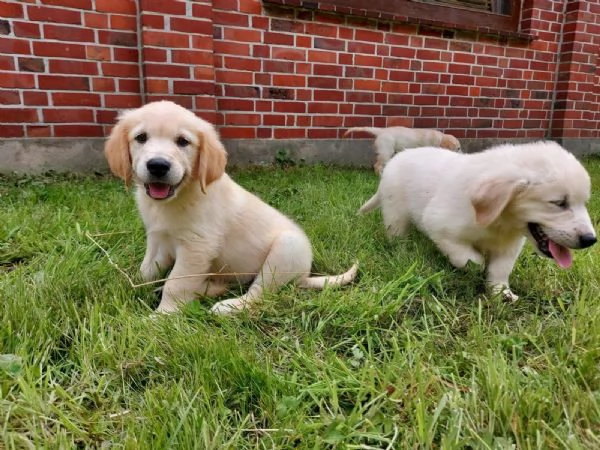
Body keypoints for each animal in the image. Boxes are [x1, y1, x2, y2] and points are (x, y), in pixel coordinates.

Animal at [105, 100, 358, 314]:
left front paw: (162, 316)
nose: (158, 165)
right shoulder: (157, 239)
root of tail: (304, 275)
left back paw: (228, 306)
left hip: (285, 251)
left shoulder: (197, 247)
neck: (177, 198)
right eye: (141, 137)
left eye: (183, 141)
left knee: (259, 293)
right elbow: (147, 270)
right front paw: (128, 286)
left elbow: (176, 283)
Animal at [358, 141, 596, 300]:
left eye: (584, 203)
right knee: (396, 233)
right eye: (559, 203)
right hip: (395, 213)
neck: (501, 221)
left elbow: (500, 269)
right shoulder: (440, 225)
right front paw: (477, 265)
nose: (590, 240)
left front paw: (502, 292)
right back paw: (402, 249)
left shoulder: (509, 245)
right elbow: (467, 257)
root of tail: (397, 158)